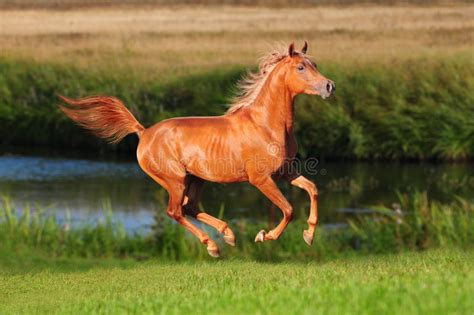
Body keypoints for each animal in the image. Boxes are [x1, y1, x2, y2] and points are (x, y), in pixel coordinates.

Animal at [61, 42, 336, 258]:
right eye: (301, 67)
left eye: (314, 64)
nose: (329, 86)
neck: (266, 125)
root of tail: (144, 132)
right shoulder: (261, 179)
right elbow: (288, 209)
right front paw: (263, 236)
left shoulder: (285, 172)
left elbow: (313, 189)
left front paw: (309, 235)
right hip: (175, 180)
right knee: (176, 211)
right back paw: (214, 246)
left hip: (196, 178)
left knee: (190, 207)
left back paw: (228, 235)